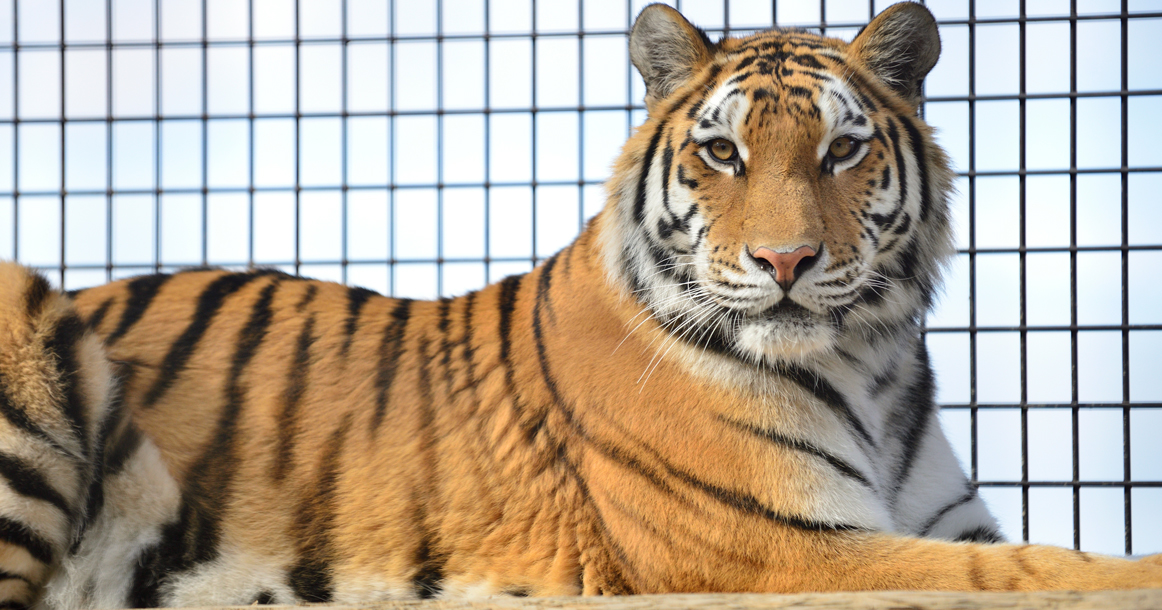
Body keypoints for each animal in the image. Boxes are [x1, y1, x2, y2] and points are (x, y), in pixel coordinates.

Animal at [0, 3, 1159, 608]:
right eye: (723, 153)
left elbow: (1013, 553)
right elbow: (1029, 569)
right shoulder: (787, 548)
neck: (865, 364)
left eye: (842, 150)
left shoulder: (924, 519)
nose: (786, 259)